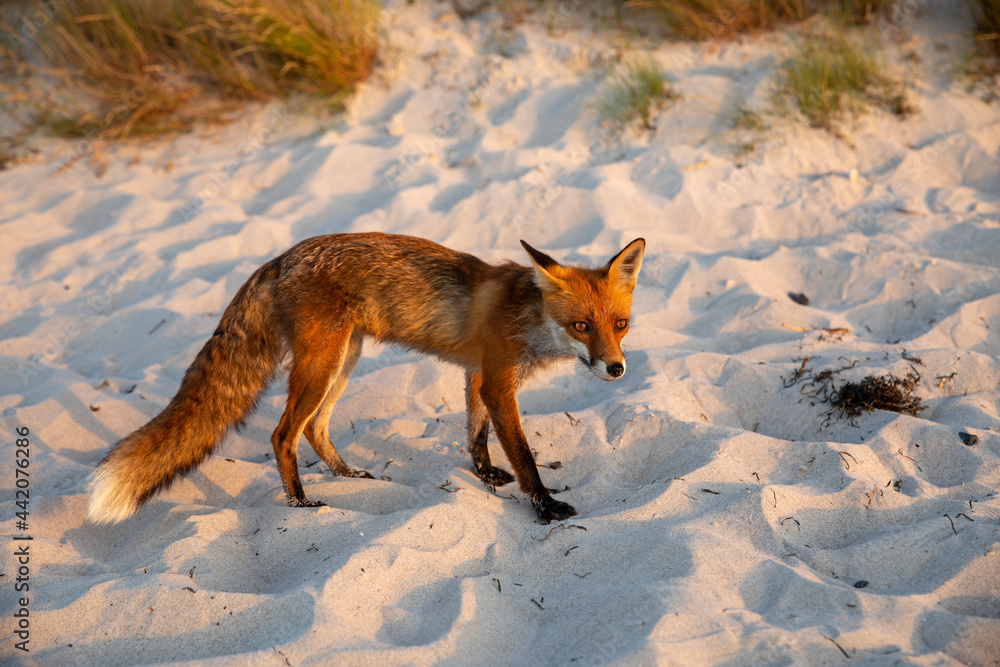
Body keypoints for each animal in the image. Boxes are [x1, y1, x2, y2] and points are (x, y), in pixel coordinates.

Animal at [87, 232, 645, 525]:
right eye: (581, 326)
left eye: (620, 325)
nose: (616, 368)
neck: (528, 317)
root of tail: (281, 257)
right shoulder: (497, 382)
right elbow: (524, 455)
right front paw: (545, 507)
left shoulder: (477, 375)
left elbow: (476, 435)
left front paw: (486, 476)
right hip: (322, 363)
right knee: (283, 433)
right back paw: (301, 502)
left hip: (344, 359)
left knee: (315, 428)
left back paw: (347, 474)